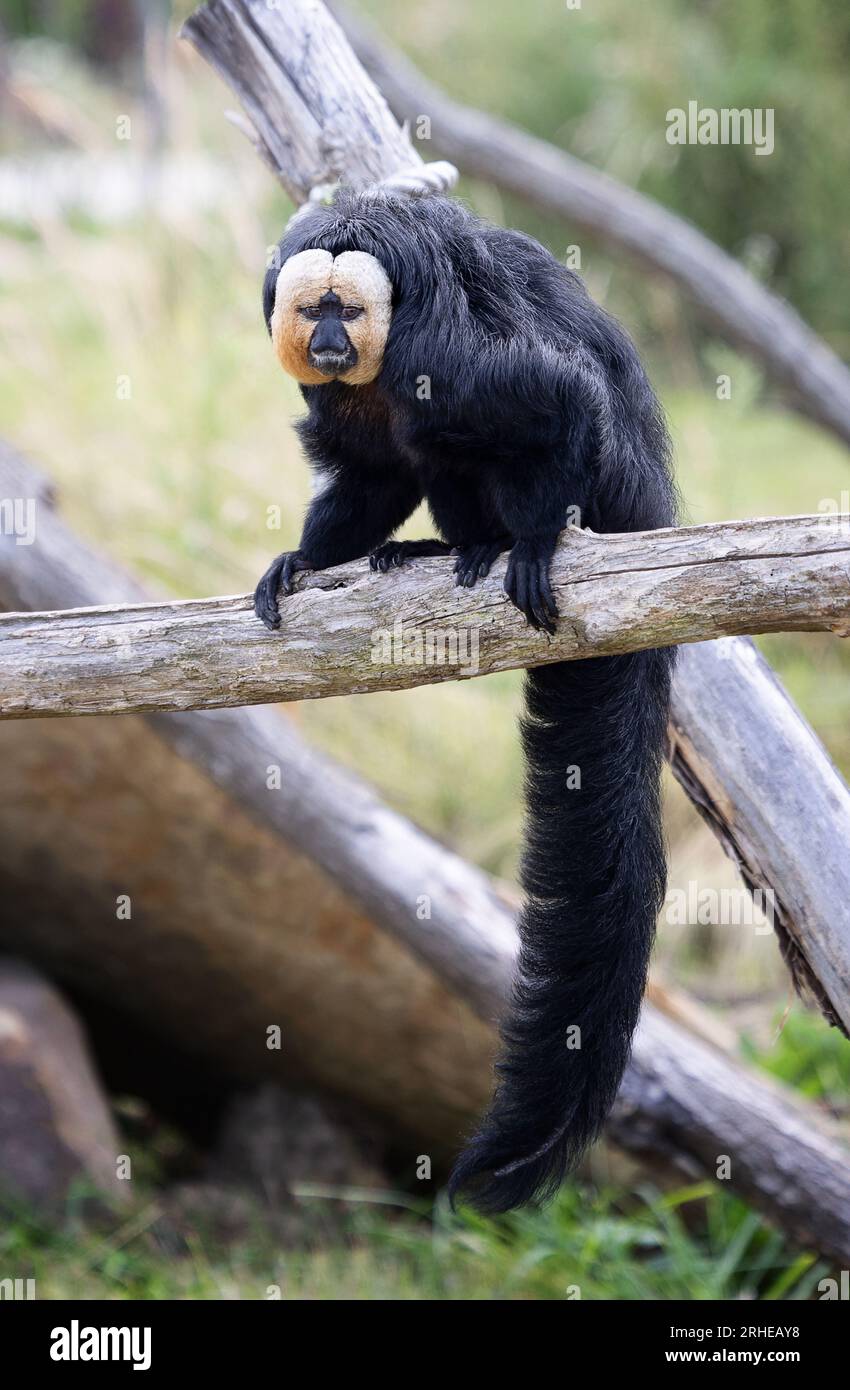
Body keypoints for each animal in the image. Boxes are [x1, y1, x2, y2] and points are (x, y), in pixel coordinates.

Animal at [255, 189, 677, 1214]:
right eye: (314, 309)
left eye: (350, 310)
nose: (331, 339)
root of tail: (651, 504)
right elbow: (371, 475)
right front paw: (306, 561)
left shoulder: (436, 356)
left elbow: (557, 399)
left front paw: (537, 543)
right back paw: (436, 549)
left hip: (607, 484)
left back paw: (500, 546)